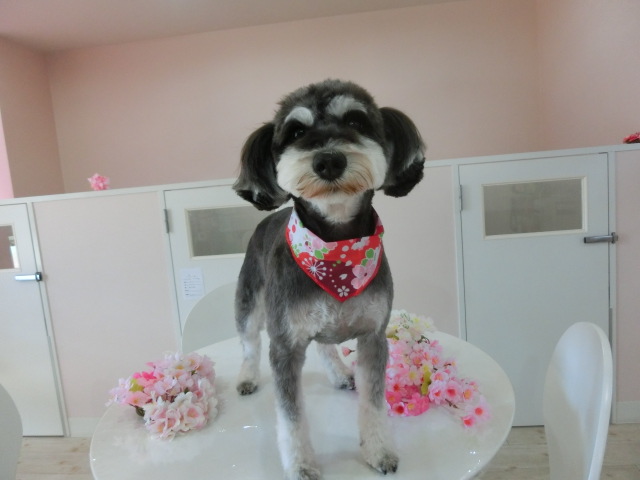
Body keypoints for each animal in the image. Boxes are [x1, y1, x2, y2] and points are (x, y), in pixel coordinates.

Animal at [233, 79, 425, 480]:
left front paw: (379, 449)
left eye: (355, 120)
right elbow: (291, 417)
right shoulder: (285, 345)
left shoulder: (373, 336)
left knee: (324, 344)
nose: (329, 160)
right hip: (249, 299)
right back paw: (247, 377)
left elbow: (373, 402)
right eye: (296, 132)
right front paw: (301, 464)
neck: (337, 249)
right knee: (249, 343)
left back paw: (338, 372)